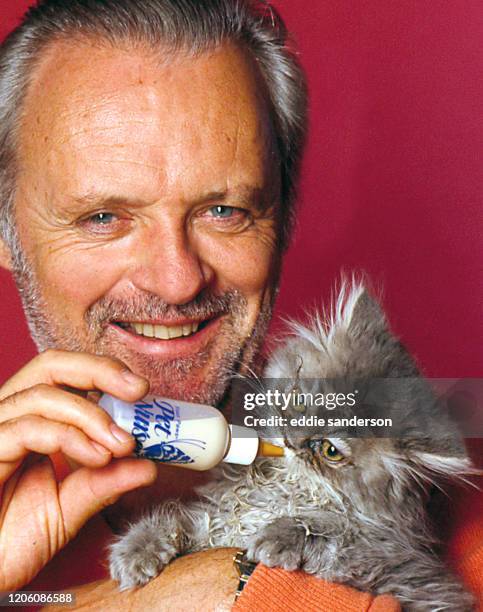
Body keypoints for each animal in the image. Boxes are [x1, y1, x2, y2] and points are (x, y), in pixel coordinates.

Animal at [108, 284, 474, 608]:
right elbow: (179, 518)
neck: (279, 486)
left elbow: (337, 535)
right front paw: (136, 551)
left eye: (330, 451)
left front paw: (278, 535)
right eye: (300, 400)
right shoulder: (217, 517)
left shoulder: (403, 566)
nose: (290, 439)